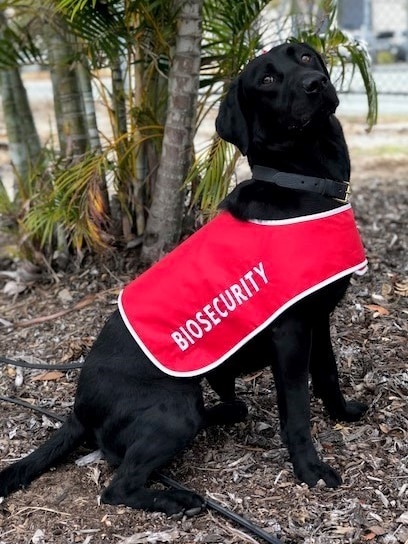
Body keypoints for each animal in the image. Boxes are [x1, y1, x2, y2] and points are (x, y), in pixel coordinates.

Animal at [0, 41, 368, 516]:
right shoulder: (290, 332)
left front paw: (343, 414)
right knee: (116, 487)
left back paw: (228, 414)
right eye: (267, 79)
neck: (303, 184)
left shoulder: (318, 318)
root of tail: (79, 408)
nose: (316, 83)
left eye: (304, 57)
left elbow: (327, 375)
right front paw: (311, 470)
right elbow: (298, 410)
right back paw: (180, 498)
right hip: (175, 408)